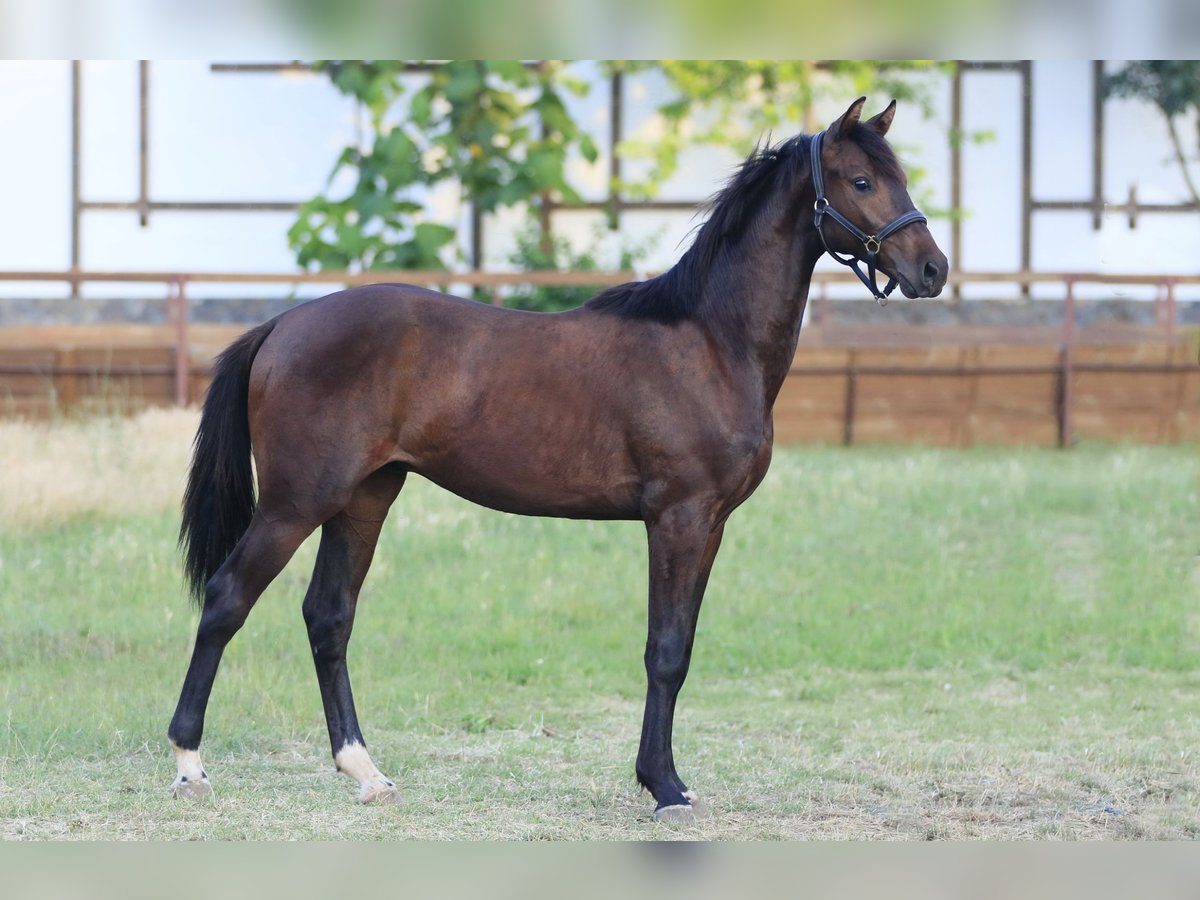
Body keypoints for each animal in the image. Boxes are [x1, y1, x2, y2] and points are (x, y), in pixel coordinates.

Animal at [166, 98, 945, 825]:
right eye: (861, 180)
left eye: (900, 175)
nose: (932, 269)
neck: (709, 341)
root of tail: (282, 325)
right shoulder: (679, 518)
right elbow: (665, 651)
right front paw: (663, 788)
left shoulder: (711, 524)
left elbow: (682, 650)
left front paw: (666, 779)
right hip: (296, 503)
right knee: (227, 600)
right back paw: (189, 765)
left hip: (363, 498)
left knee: (328, 618)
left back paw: (366, 772)